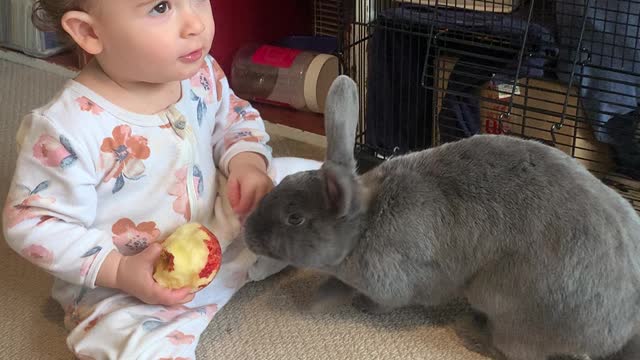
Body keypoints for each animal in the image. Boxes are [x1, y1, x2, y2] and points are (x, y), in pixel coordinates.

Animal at [244, 75, 640, 360]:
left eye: (295, 218)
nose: (247, 233)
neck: (363, 227)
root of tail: (623, 328)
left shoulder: (392, 282)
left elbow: (377, 300)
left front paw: (336, 302)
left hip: (505, 300)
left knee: (514, 349)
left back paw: (470, 332)